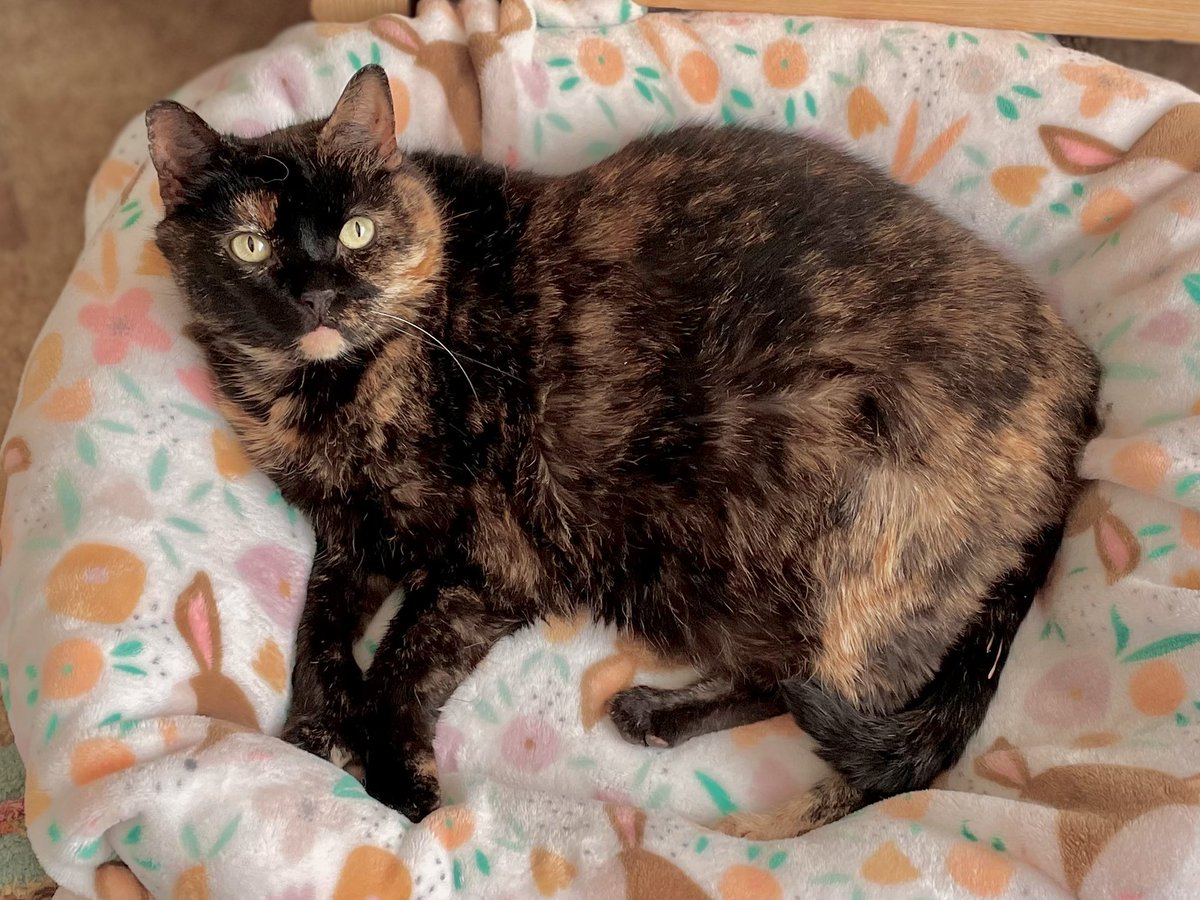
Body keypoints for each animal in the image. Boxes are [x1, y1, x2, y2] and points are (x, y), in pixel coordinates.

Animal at [145, 65, 1099, 840]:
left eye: (355, 232)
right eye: (250, 245)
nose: (314, 296)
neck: (326, 399)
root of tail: (1082, 392)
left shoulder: (496, 563)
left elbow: (402, 665)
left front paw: (396, 782)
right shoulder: (352, 534)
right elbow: (317, 627)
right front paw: (315, 729)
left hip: (835, 546)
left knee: (866, 736)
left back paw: (735, 807)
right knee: (796, 684)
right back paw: (656, 716)